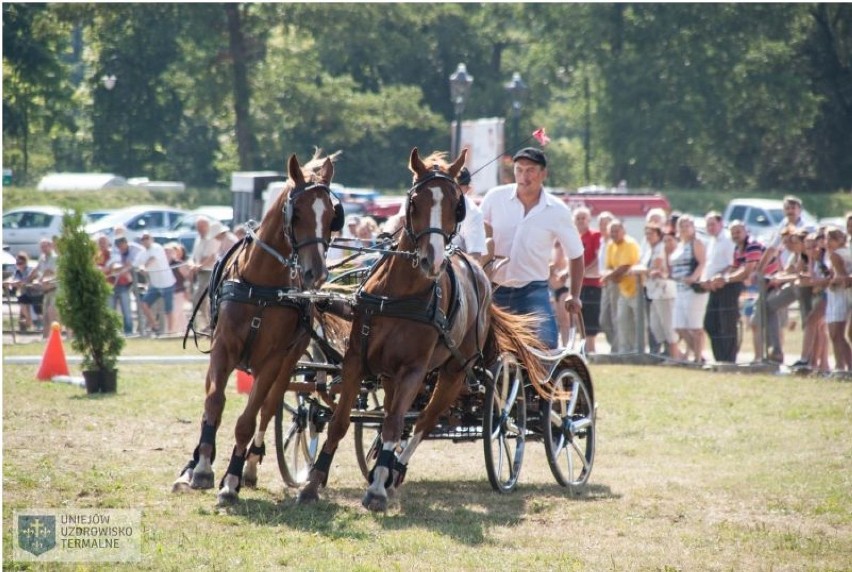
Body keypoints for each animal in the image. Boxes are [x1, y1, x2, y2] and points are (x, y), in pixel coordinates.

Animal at [171, 152, 344, 504]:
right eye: (297, 212)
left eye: (333, 215)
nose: (316, 273)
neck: (261, 288)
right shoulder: (222, 349)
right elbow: (214, 404)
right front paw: (202, 468)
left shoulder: (272, 362)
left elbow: (248, 420)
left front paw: (231, 480)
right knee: (213, 401)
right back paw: (193, 464)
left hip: (288, 365)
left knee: (268, 409)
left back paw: (249, 467)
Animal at [302, 146, 544, 510]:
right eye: (414, 202)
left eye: (456, 205)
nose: (433, 260)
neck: (399, 295)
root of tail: (479, 272)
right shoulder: (356, 359)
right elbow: (340, 421)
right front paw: (313, 483)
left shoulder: (414, 370)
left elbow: (395, 425)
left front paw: (377, 489)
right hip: (390, 375)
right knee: (395, 414)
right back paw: (381, 467)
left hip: (455, 371)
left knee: (424, 421)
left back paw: (393, 472)